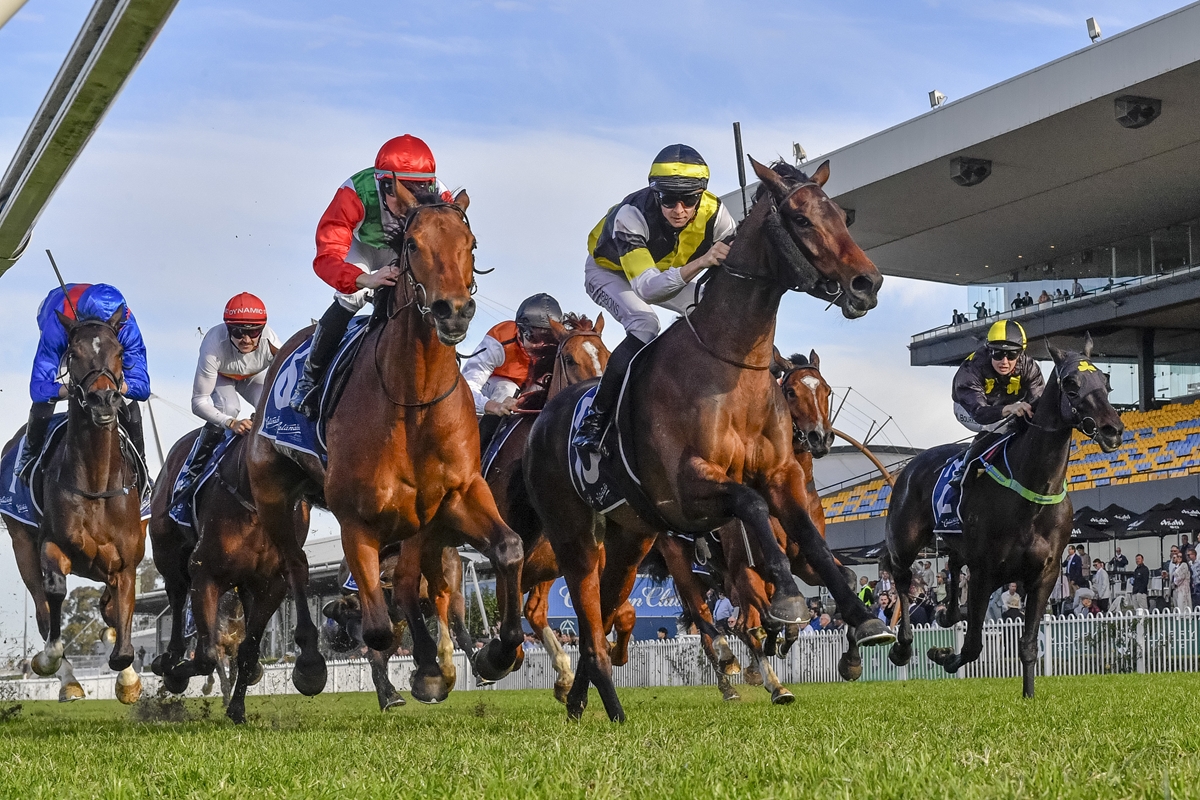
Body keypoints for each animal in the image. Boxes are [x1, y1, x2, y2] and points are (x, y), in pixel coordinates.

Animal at [2, 309, 146, 704]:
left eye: (119, 352)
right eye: (74, 353)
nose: (103, 400)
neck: (96, 483)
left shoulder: (126, 563)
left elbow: (121, 635)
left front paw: (128, 680)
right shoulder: (52, 545)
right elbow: (54, 595)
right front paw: (49, 659)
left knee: (107, 608)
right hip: (21, 543)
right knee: (41, 606)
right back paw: (69, 681)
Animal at [148, 428, 297, 721]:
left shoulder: (273, 585)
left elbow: (248, 651)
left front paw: (237, 708)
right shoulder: (205, 574)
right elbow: (206, 657)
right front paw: (175, 673)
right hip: (169, 557)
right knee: (177, 598)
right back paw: (169, 659)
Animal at [247, 186, 526, 704]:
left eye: (470, 244)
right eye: (412, 245)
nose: (453, 310)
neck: (412, 398)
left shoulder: (452, 495)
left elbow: (508, 548)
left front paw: (494, 655)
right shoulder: (355, 520)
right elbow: (376, 627)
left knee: (405, 583)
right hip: (275, 495)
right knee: (295, 567)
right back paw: (310, 661)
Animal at [525, 158, 890, 722]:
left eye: (842, 216)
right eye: (801, 220)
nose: (866, 282)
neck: (731, 364)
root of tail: (543, 419)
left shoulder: (781, 478)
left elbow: (819, 549)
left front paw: (862, 621)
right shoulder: (687, 492)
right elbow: (750, 514)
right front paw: (787, 602)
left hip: (629, 540)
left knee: (603, 616)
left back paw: (583, 699)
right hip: (579, 537)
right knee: (610, 618)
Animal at [883, 336, 1123, 698]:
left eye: (1106, 382)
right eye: (1071, 384)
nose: (1113, 429)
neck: (1033, 493)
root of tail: (911, 465)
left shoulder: (1044, 575)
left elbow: (1028, 645)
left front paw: (1029, 696)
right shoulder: (985, 572)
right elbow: (972, 646)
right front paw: (943, 655)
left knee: (953, 564)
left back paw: (948, 614)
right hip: (904, 541)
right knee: (901, 578)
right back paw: (903, 646)